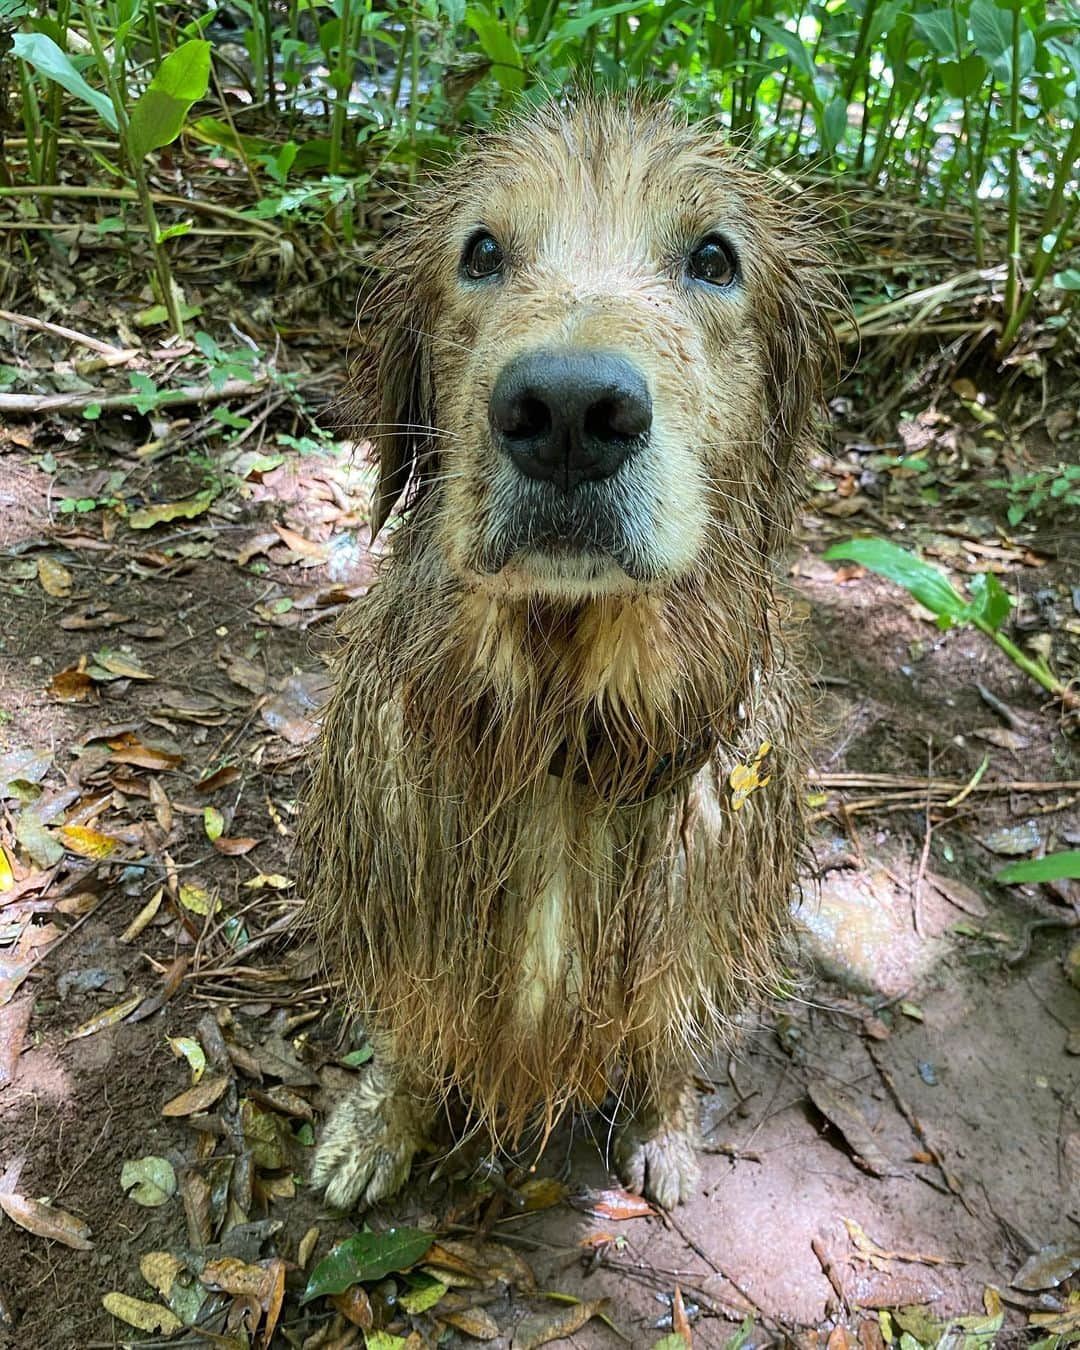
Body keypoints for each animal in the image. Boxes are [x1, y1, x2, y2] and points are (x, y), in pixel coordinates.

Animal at [301, 97, 837, 1215]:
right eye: (482, 252)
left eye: (714, 258)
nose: (568, 414)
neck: (561, 723)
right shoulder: (406, 909)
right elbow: (411, 1032)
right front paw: (379, 1123)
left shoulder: (691, 931)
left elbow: (669, 1033)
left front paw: (666, 1126)